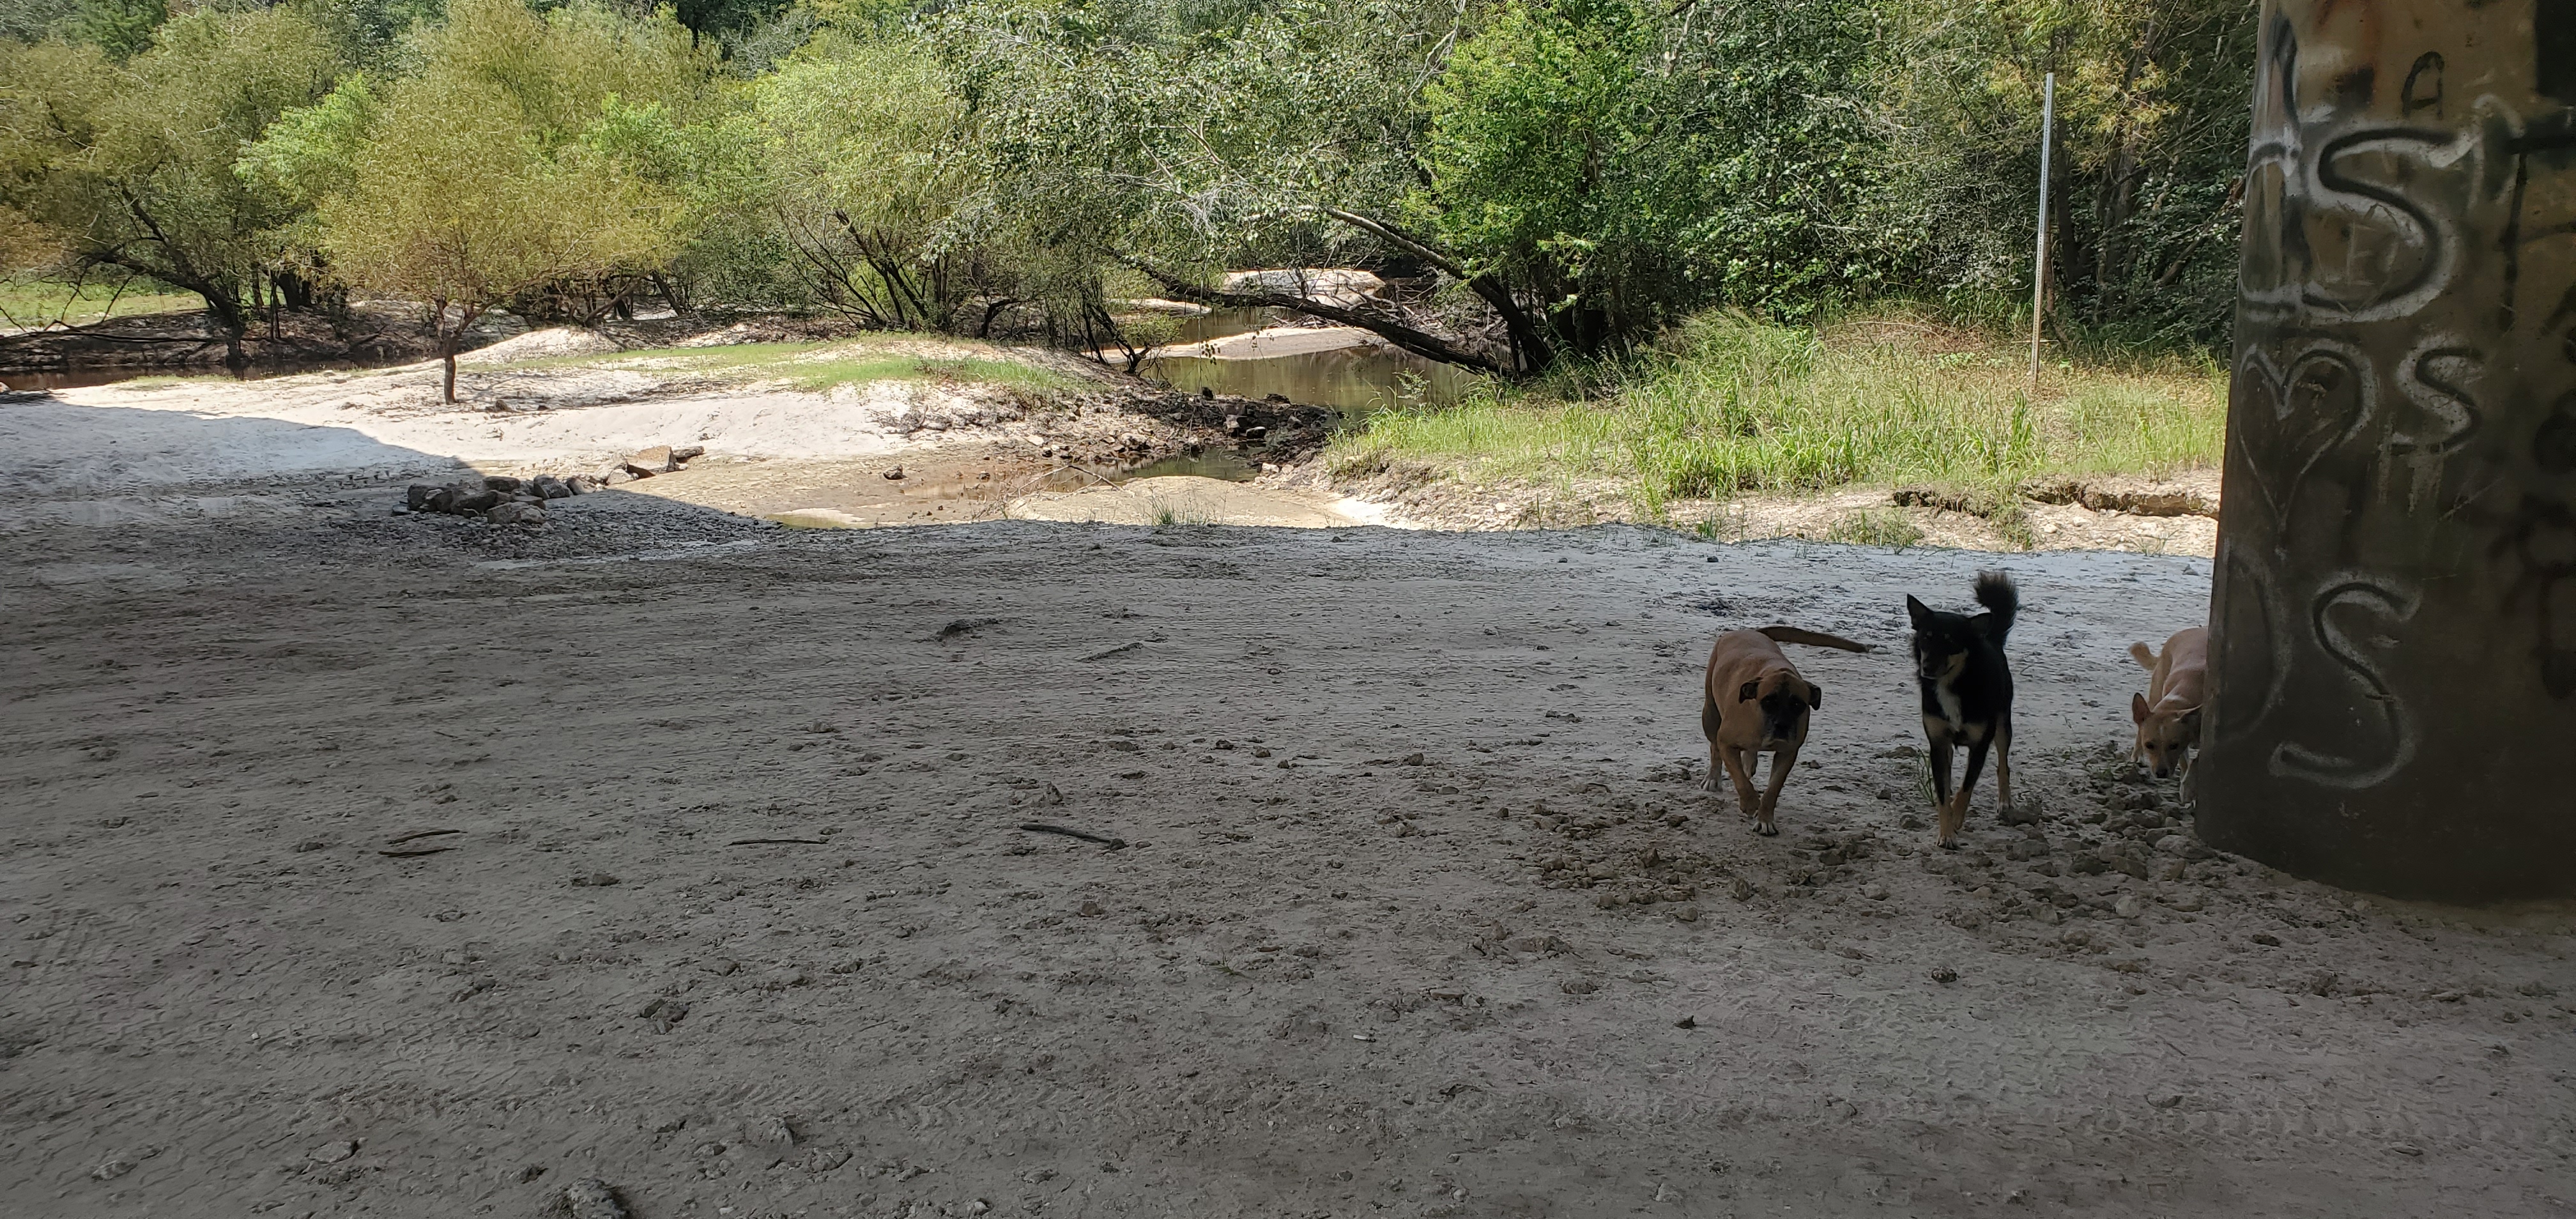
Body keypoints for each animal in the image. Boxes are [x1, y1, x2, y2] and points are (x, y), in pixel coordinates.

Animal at [1700, 624, 1885, 829]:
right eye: (1769, 701)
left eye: (1798, 704)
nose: (1782, 725)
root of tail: (1748, 631)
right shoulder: (1727, 742)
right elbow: (1740, 779)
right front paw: (1750, 803)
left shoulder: (1787, 753)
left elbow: (1773, 789)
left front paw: (1765, 819)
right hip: (1710, 714)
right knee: (1715, 747)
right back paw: (1713, 778)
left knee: (1748, 753)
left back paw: (1749, 762)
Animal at [1906, 572, 2020, 845]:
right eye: (1926, 637)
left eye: (1951, 641)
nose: (1927, 667)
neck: (1953, 685)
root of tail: (1989, 638)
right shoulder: (1938, 745)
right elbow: (1942, 794)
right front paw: (1946, 833)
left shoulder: (1980, 745)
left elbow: (1966, 788)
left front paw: (1956, 820)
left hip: (2003, 725)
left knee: (2003, 763)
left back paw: (2004, 801)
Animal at [2133, 624, 2215, 783]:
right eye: (2149, 746)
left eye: (2174, 745)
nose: (2161, 773)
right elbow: (2185, 766)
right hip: (2155, 694)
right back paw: (2137, 754)